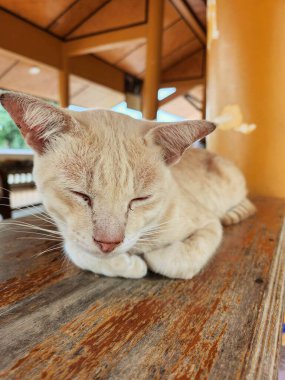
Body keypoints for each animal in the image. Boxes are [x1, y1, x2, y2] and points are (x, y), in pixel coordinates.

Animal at [0, 92, 254, 280]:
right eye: (80, 195)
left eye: (140, 199)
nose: (108, 244)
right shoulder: (69, 234)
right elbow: (77, 250)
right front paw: (128, 264)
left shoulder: (208, 223)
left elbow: (176, 260)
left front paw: (150, 258)